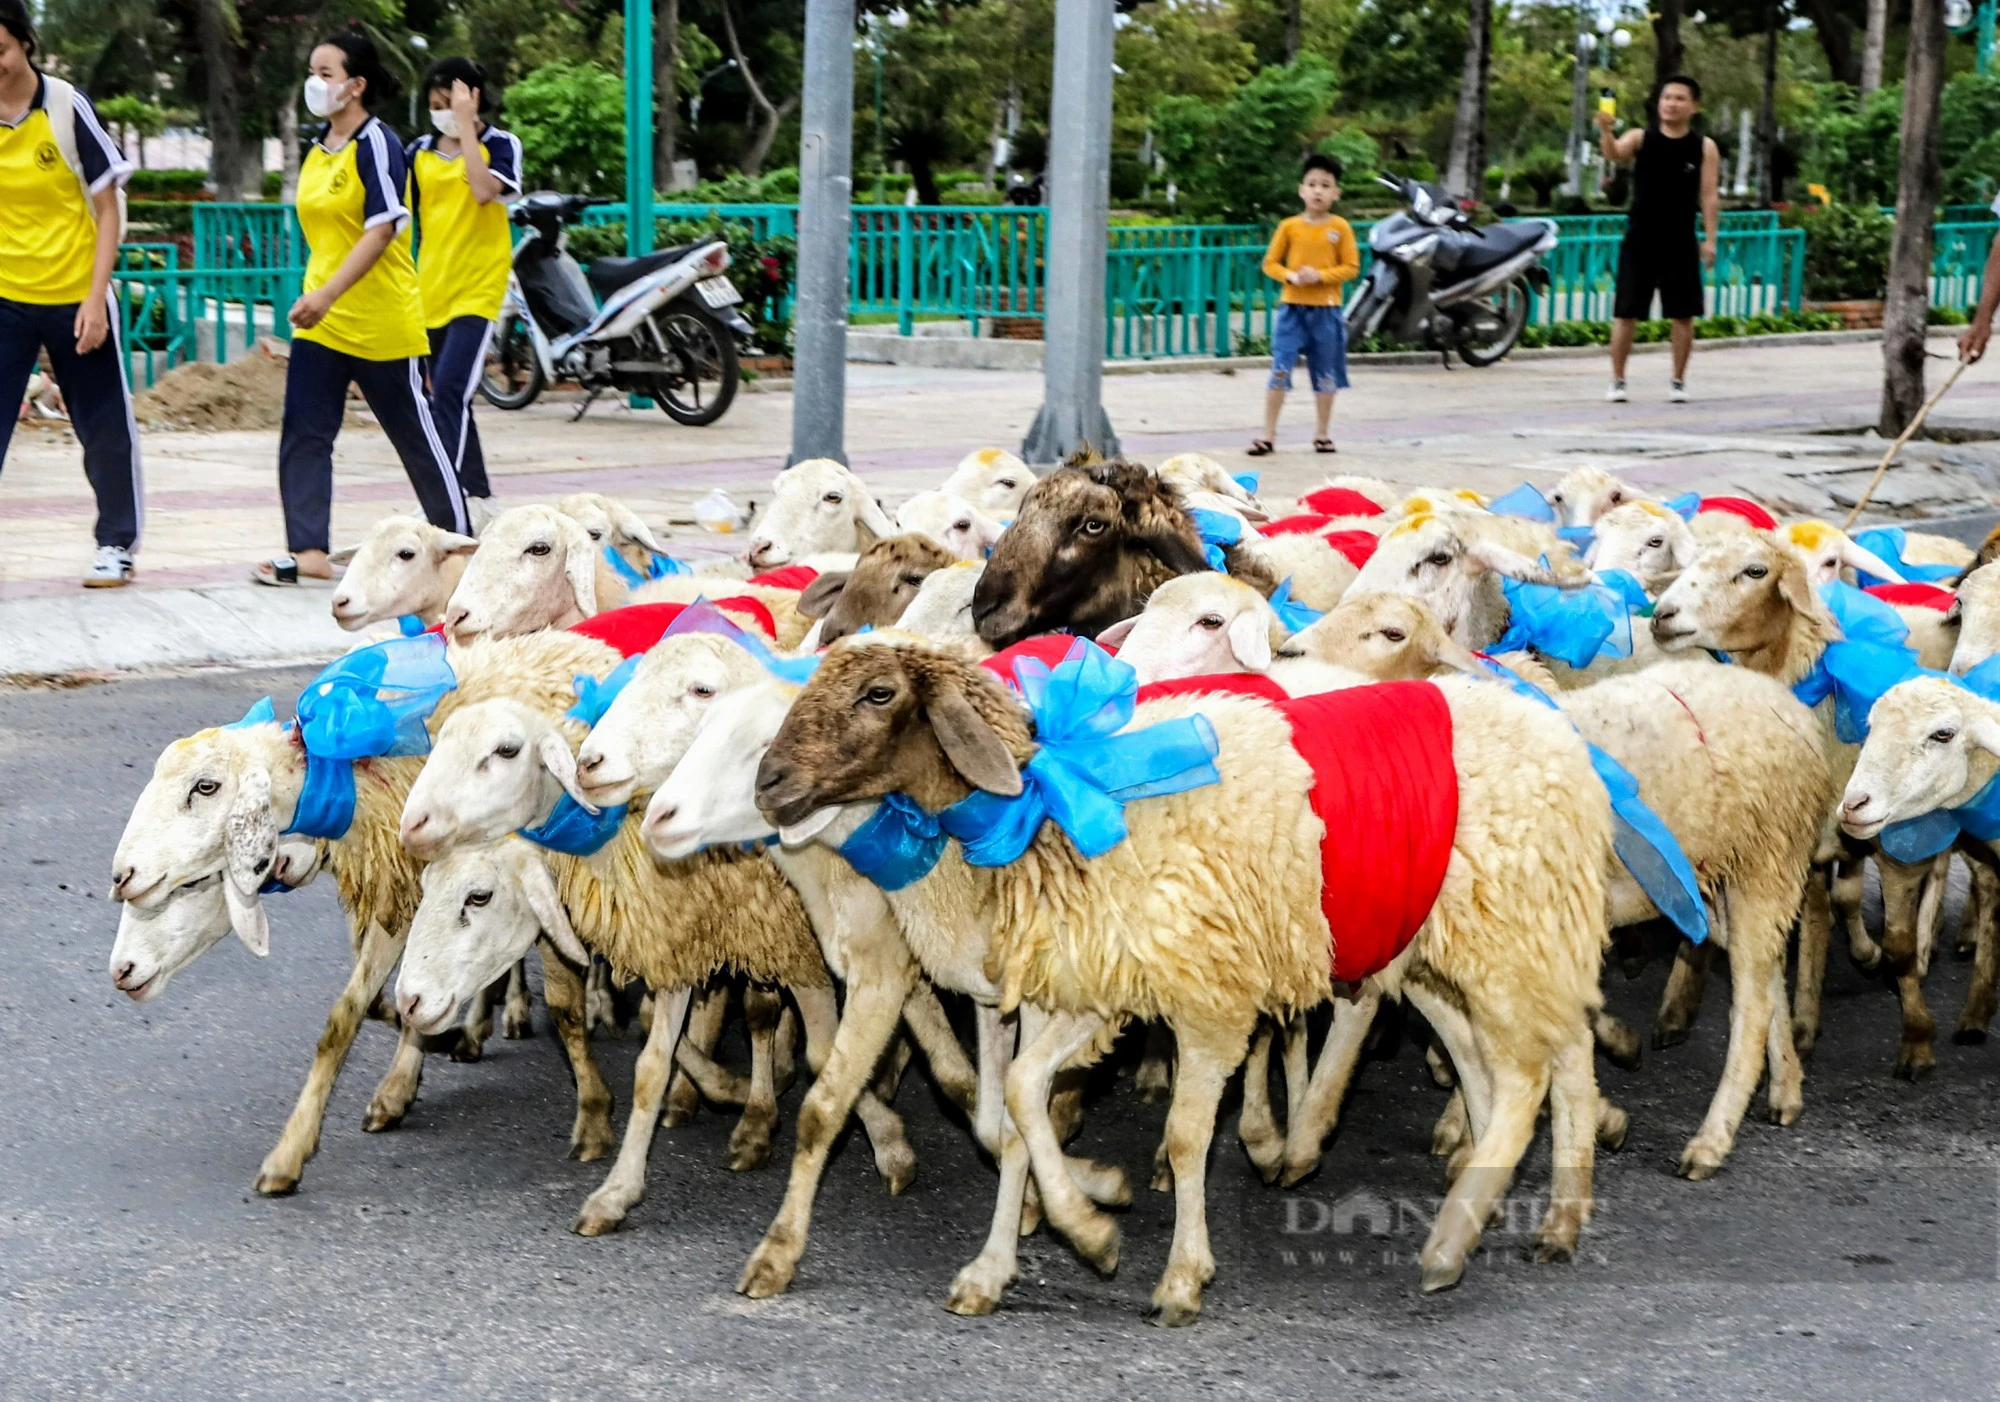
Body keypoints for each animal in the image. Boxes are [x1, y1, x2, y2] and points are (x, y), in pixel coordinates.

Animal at [756, 636, 1616, 1312]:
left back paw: (1451, 1241)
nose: (767, 782)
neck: (1037, 819)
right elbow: (1018, 1112)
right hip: (1454, 947)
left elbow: (1180, 1136)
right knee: (1527, 1059)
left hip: (1511, 933)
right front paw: (1038, 1246)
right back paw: (1535, 1214)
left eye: (878, 693)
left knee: (1530, 1074)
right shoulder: (1069, 989)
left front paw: (1165, 1268)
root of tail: (1556, 726)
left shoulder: (1204, 994)